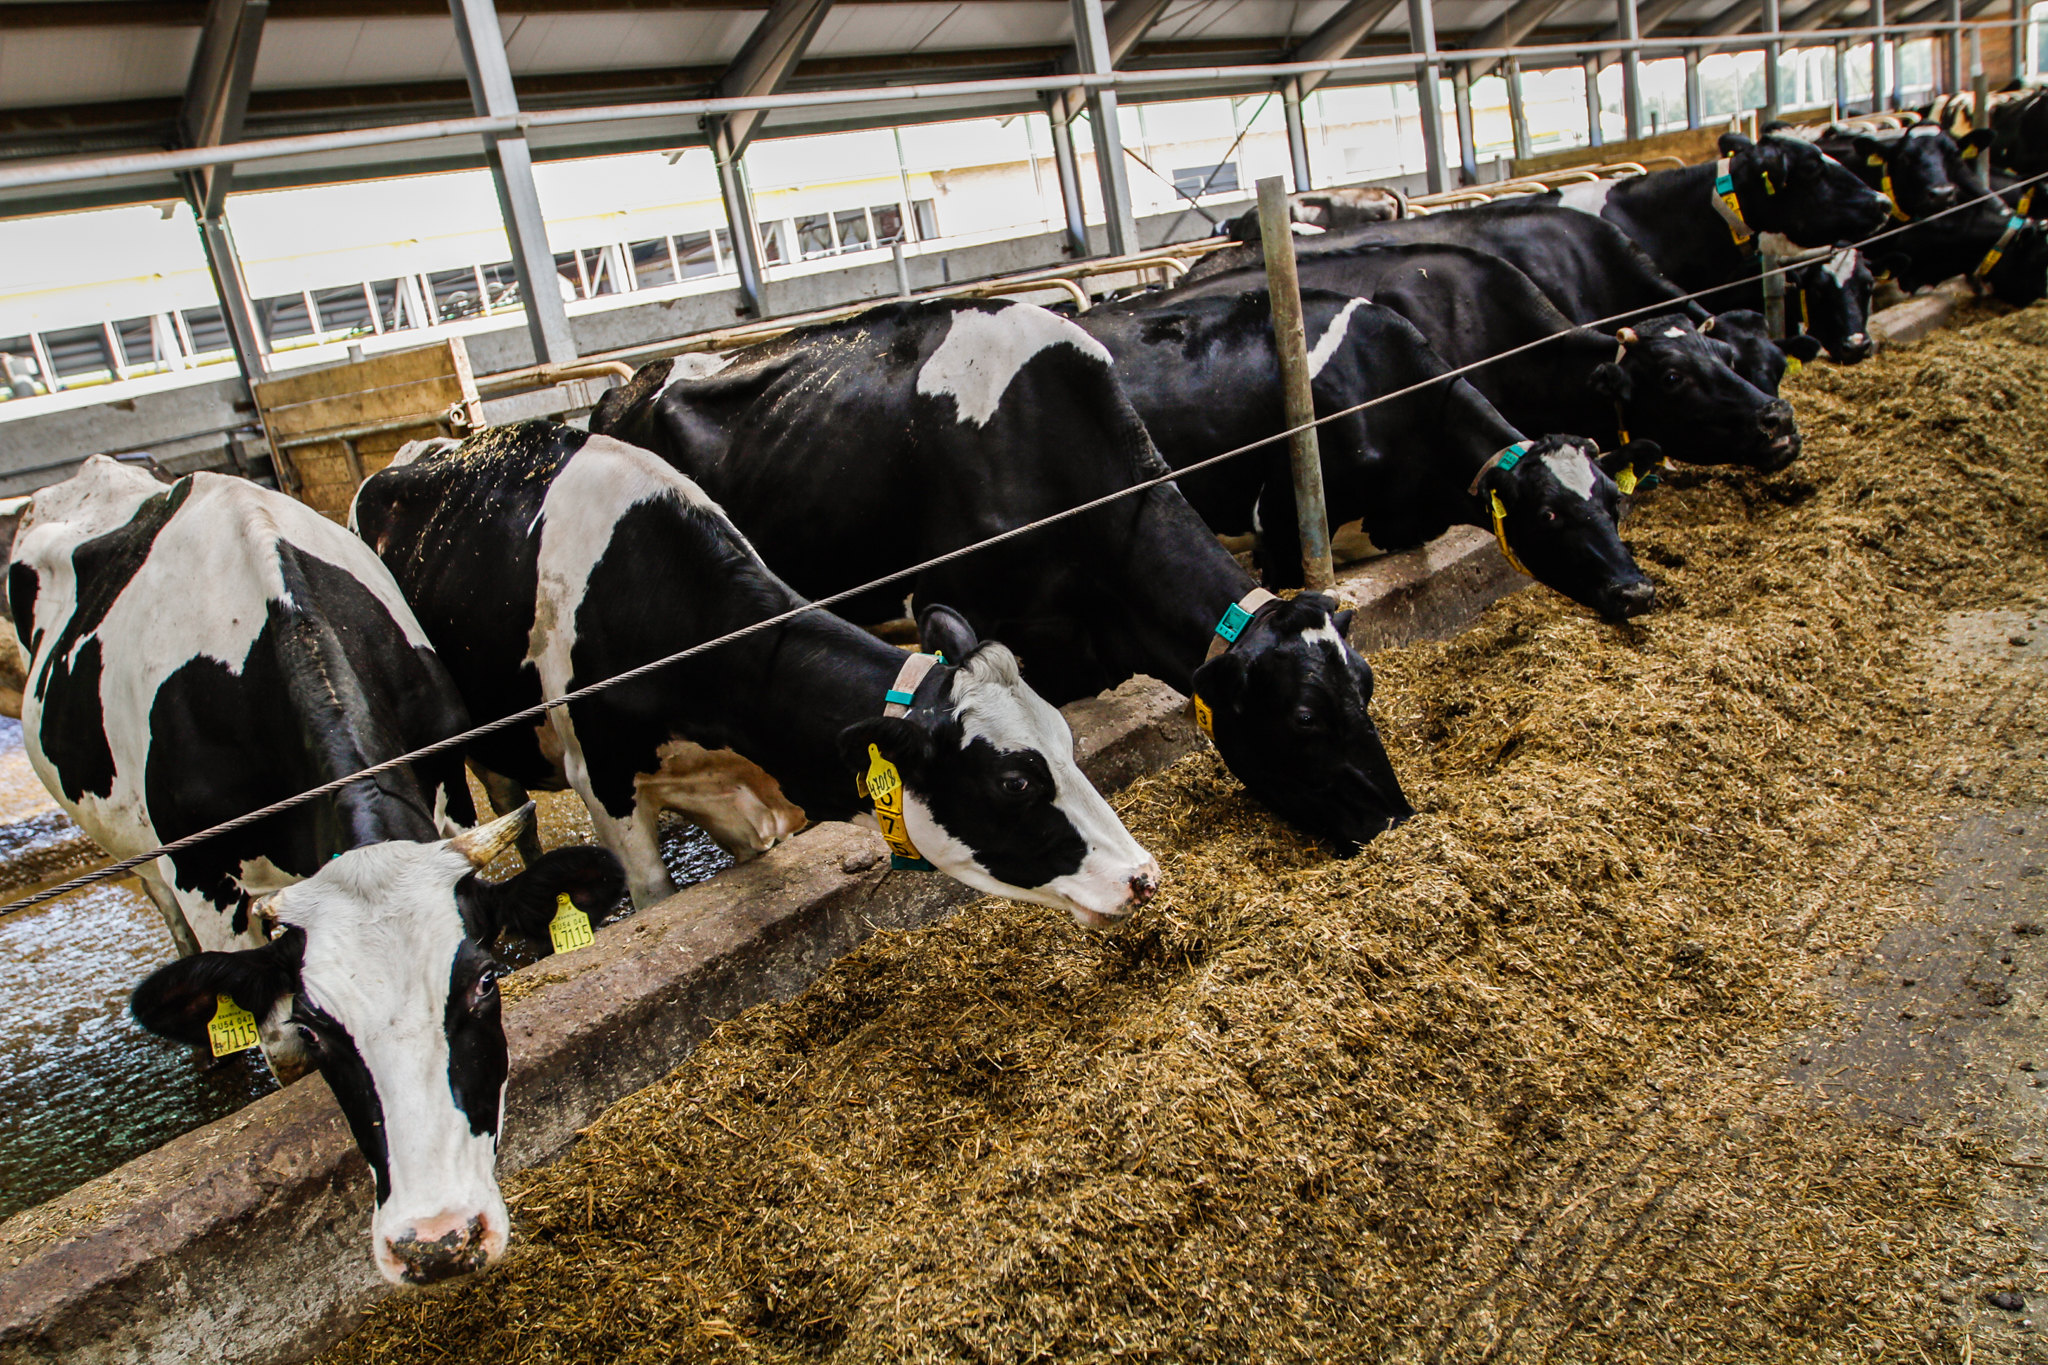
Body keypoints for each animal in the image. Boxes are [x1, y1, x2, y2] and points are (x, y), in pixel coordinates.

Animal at [8, 464, 622, 1285]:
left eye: (485, 983)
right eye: (317, 1023)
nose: (437, 1241)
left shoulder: (445, 790)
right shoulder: (206, 882)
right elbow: (277, 1048)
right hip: (131, 849)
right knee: (160, 906)